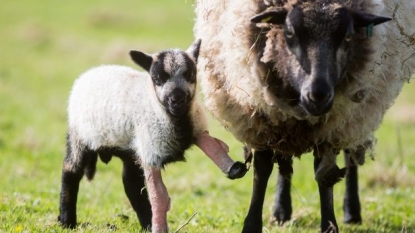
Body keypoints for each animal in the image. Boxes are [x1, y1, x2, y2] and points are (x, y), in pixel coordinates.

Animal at [57, 39, 249, 232]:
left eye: (191, 75)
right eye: (157, 79)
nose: (177, 100)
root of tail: (90, 73)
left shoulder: (196, 129)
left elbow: (211, 145)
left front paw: (235, 168)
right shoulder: (152, 151)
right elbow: (159, 196)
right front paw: (160, 227)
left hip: (131, 149)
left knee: (131, 184)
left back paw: (146, 224)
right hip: (80, 136)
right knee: (71, 170)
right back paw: (67, 221)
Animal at [195, 0, 415, 232]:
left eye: (348, 36)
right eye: (290, 32)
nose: (318, 94)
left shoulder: (332, 127)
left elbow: (324, 173)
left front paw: (329, 225)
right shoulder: (263, 117)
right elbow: (262, 169)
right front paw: (252, 224)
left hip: (355, 116)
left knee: (350, 155)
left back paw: (351, 212)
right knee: (284, 161)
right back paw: (281, 212)